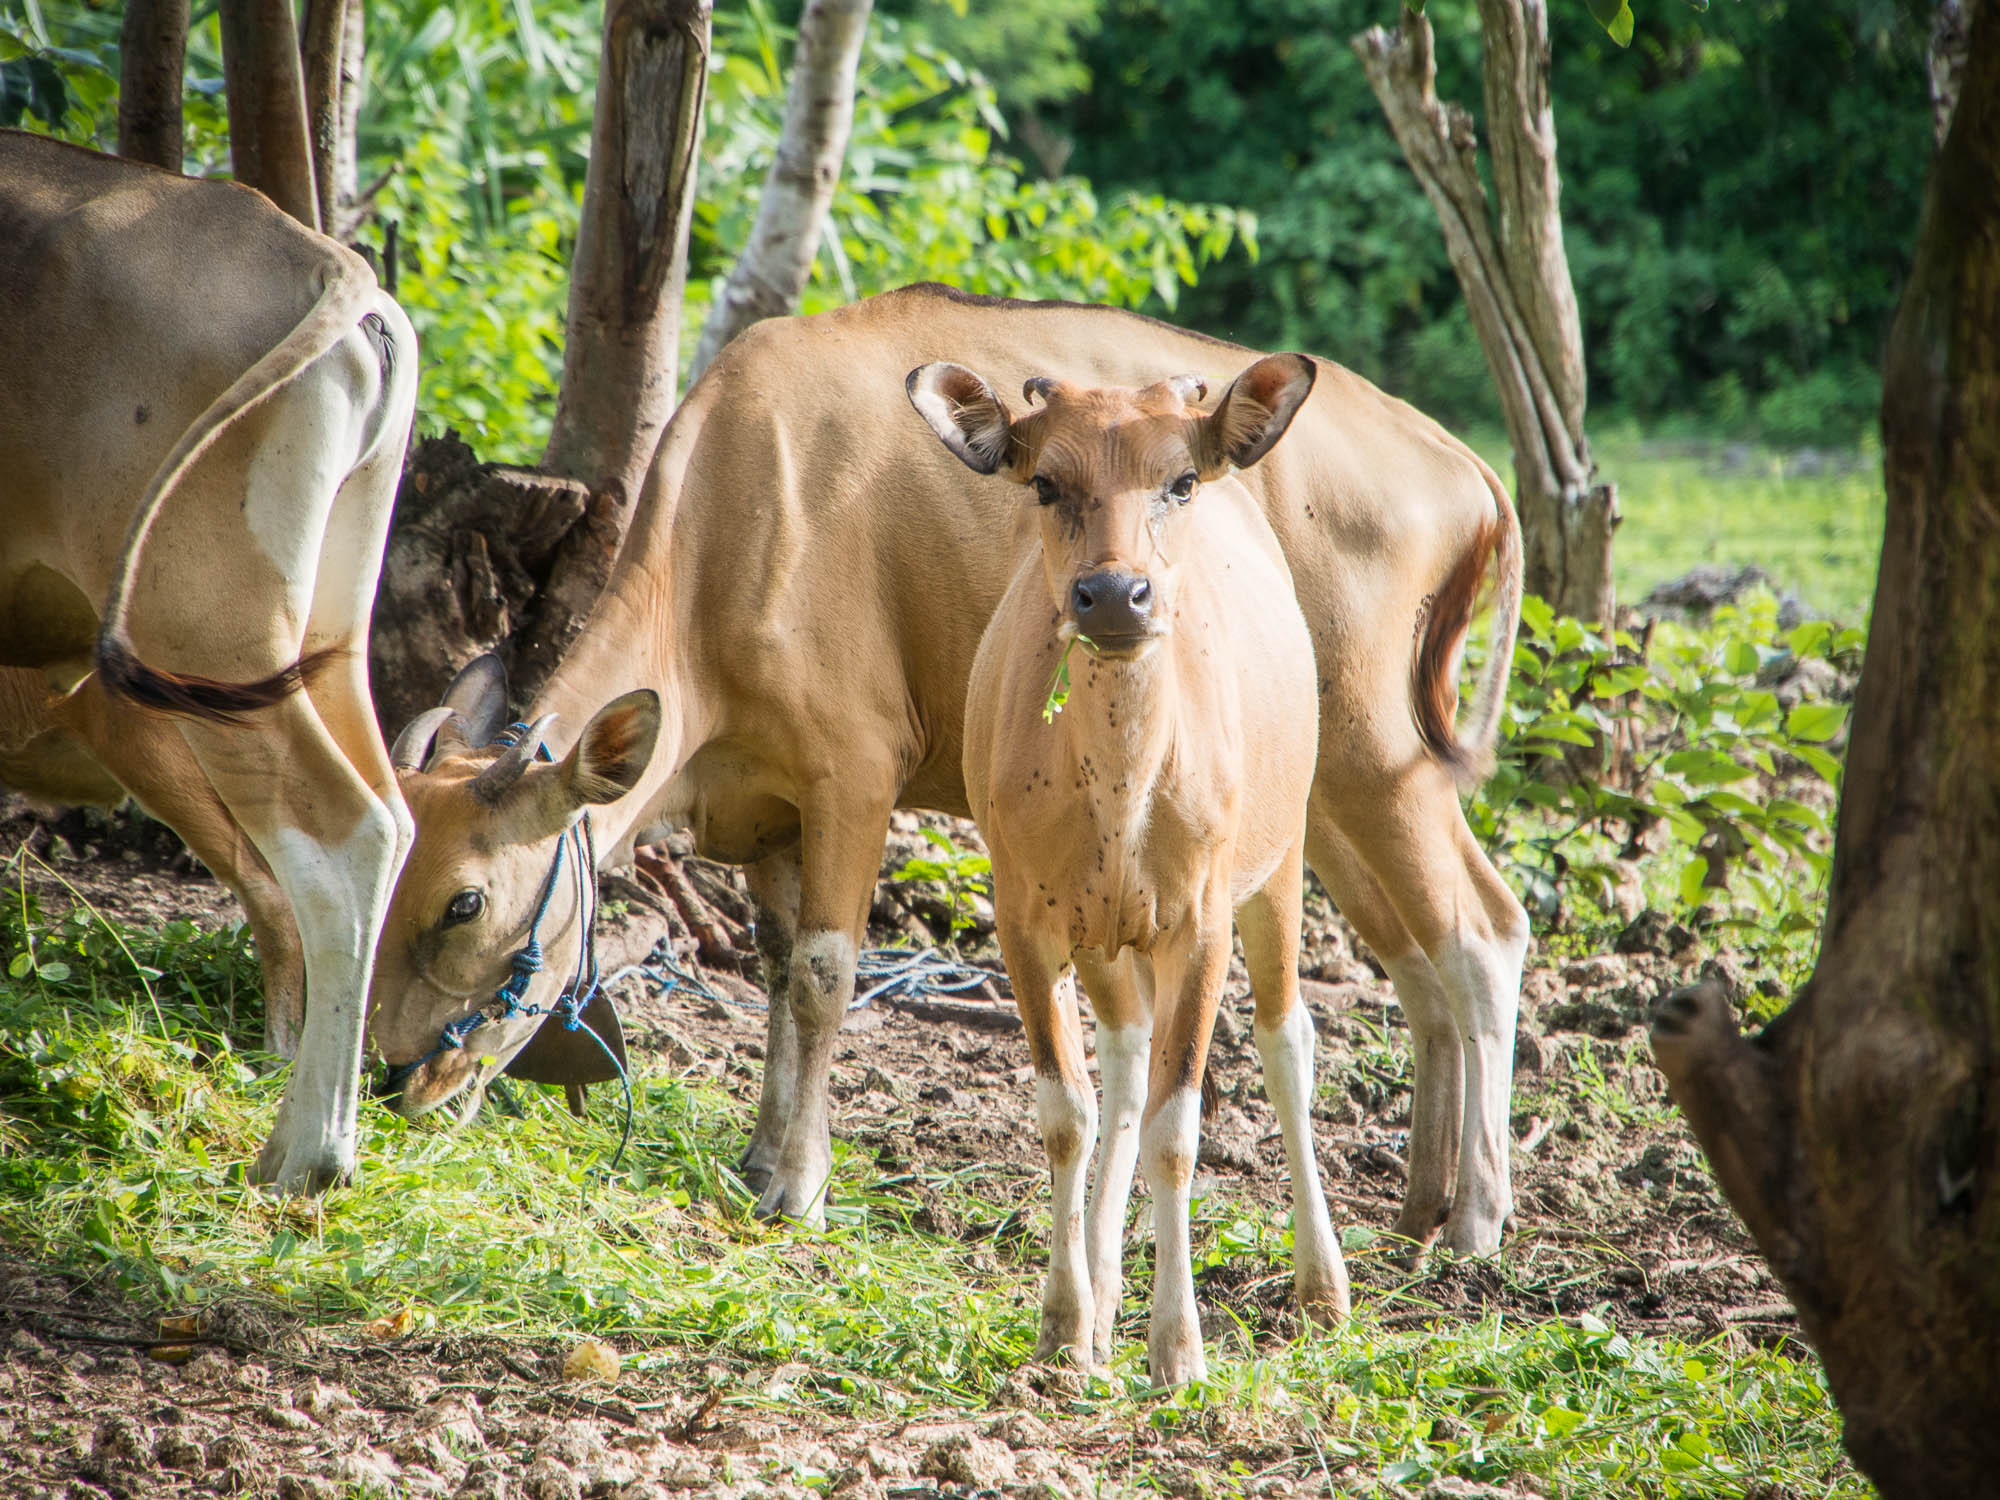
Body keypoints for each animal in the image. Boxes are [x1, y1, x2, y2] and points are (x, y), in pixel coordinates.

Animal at [0, 135, 418, 1192]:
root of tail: (323, 259)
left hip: (201, 641)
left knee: (343, 835)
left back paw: (308, 1156)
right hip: (322, 641)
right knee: (393, 817)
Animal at [376, 284, 1520, 1272]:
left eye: (464, 903)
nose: (394, 1081)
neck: (735, 526)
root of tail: (1464, 467)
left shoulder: (852, 773)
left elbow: (825, 974)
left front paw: (797, 1183)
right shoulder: (774, 812)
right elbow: (778, 968)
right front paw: (761, 1154)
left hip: (1379, 759)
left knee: (1480, 934)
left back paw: (1476, 1218)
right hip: (1310, 796)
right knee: (1414, 960)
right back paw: (1419, 1205)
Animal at [916, 352, 1352, 1384]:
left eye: (1180, 480)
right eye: (1045, 482)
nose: (1115, 595)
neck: (1122, 794)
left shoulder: (1200, 921)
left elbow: (1176, 1128)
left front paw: (1178, 1348)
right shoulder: (1025, 919)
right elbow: (1066, 1112)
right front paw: (1066, 1326)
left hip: (1280, 862)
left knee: (1286, 1041)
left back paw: (1323, 1285)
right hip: (1107, 937)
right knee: (1120, 1060)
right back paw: (1107, 1284)